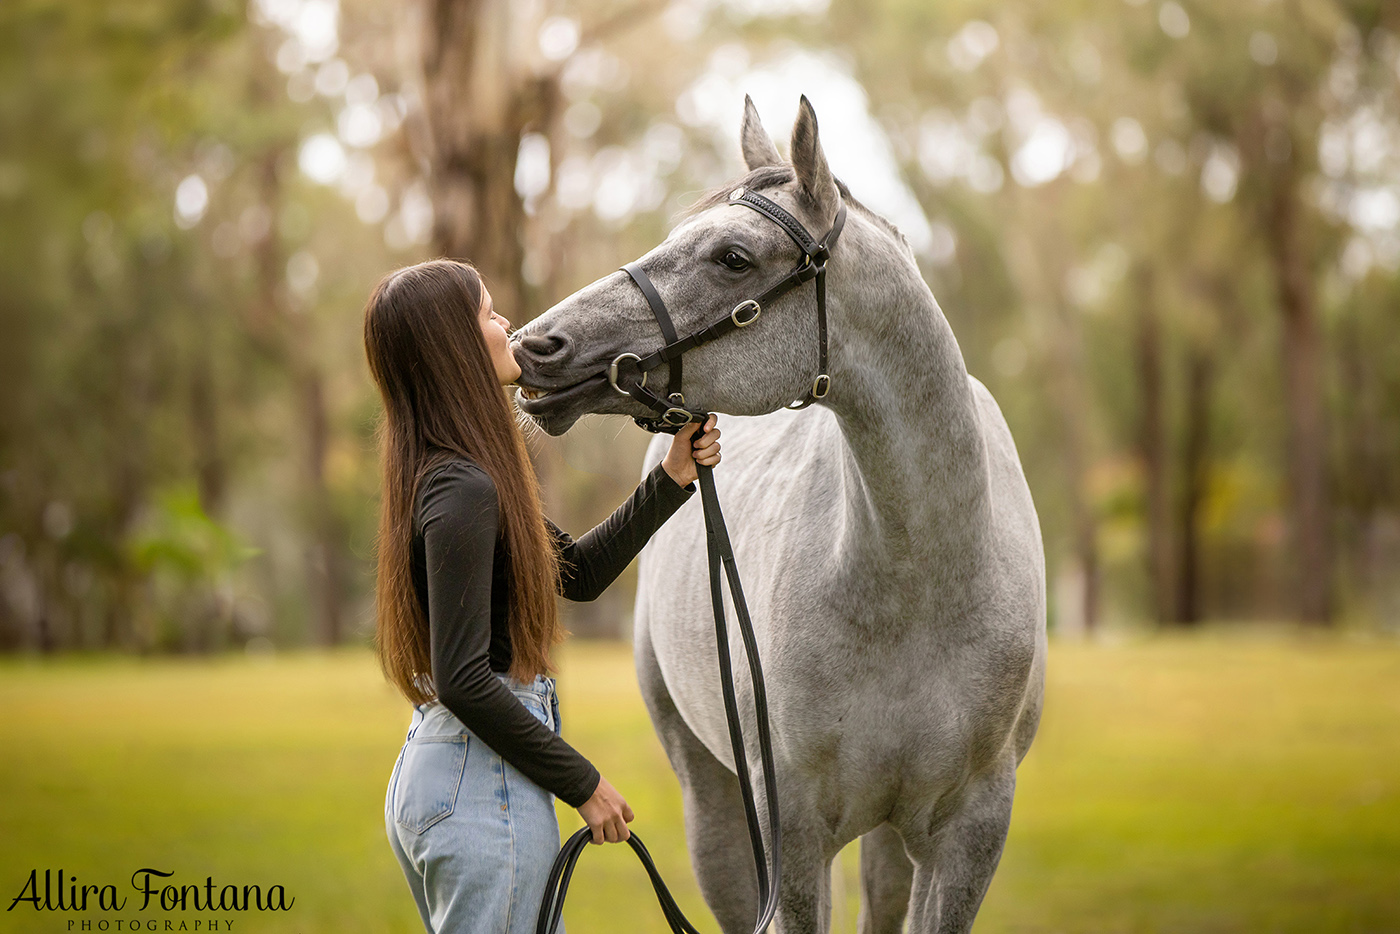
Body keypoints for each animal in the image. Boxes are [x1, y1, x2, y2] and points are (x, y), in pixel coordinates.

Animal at [512, 96, 1041, 934]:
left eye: (733, 257)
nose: (537, 345)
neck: (921, 585)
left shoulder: (969, 837)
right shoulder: (789, 835)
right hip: (714, 804)